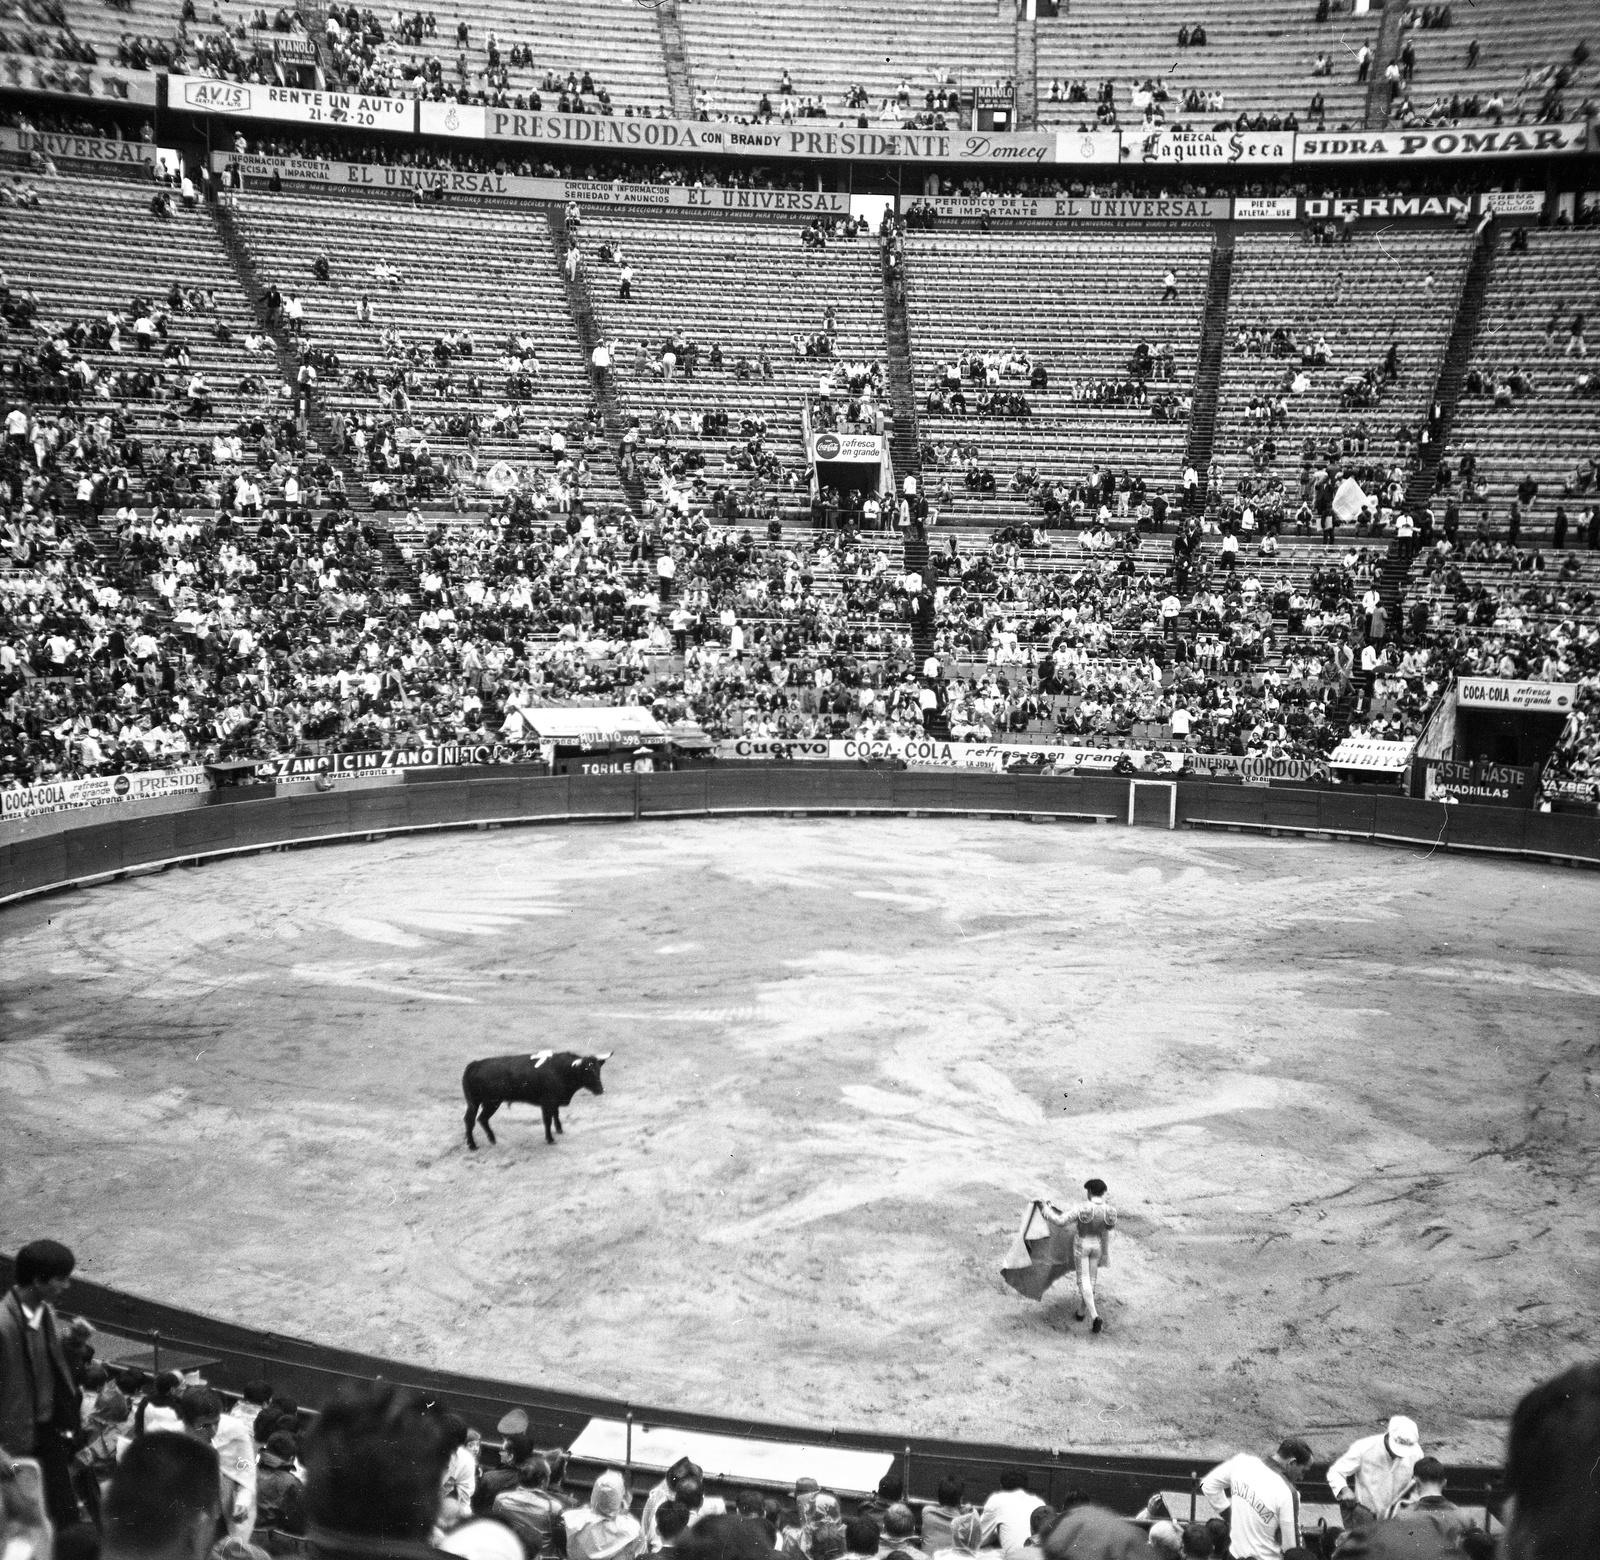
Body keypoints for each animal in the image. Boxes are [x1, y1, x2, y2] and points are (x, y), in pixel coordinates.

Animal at [467, 1049, 614, 1145]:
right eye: (586, 1071)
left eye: (598, 1070)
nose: (600, 1090)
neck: (561, 1070)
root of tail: (475, 1064)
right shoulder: (547, 1103)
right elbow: (547, 1120)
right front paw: (550, 1139)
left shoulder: (554, 1102)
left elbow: (556, 1114)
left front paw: (559, 1129)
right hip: (491, 1102)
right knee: (479, 1119)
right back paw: (477, 1144)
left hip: (474, 1102)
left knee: (471, 1119)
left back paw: (482, 1141)